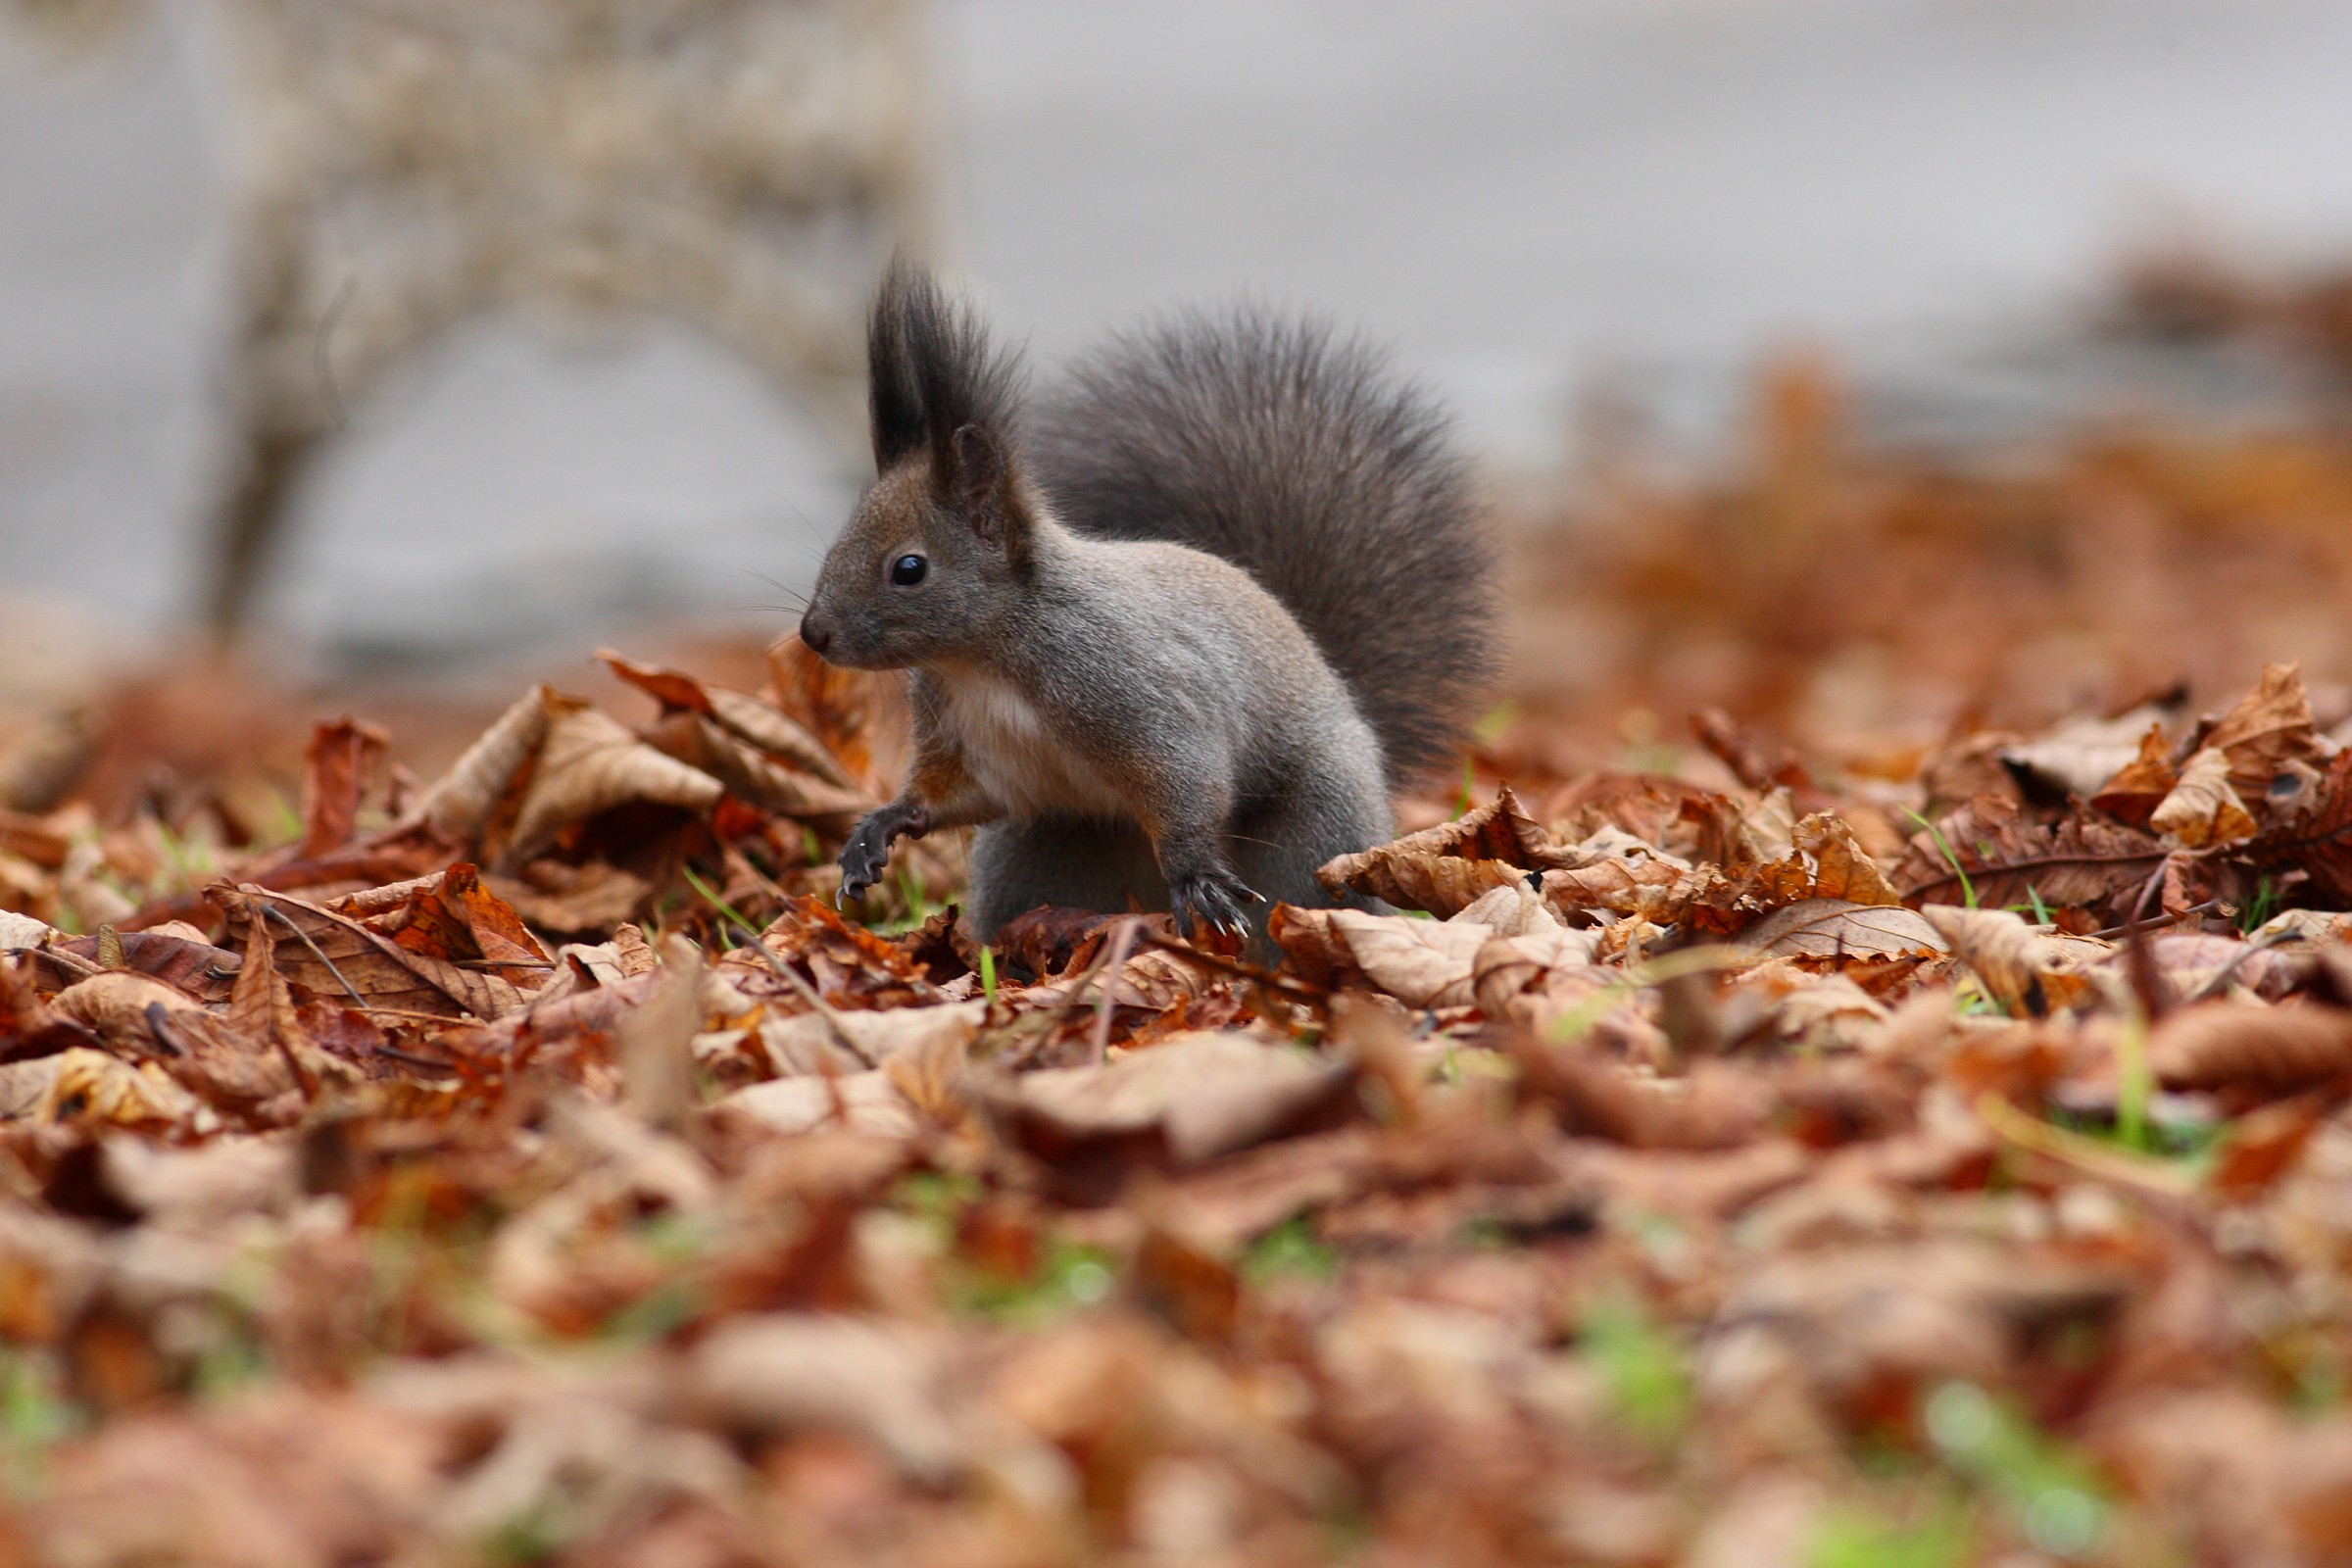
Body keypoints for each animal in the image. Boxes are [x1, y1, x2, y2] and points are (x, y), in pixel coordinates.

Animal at [797, 260, 1498, 943]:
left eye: (909, 568)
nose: (814, 634)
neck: (985, 659)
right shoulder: (974, 745)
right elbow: (954, 797)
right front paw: (879, 827)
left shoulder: (1129, 686)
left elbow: (1185, 775)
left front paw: (1195, 877)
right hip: (1040, 854)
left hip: (1312, 837)